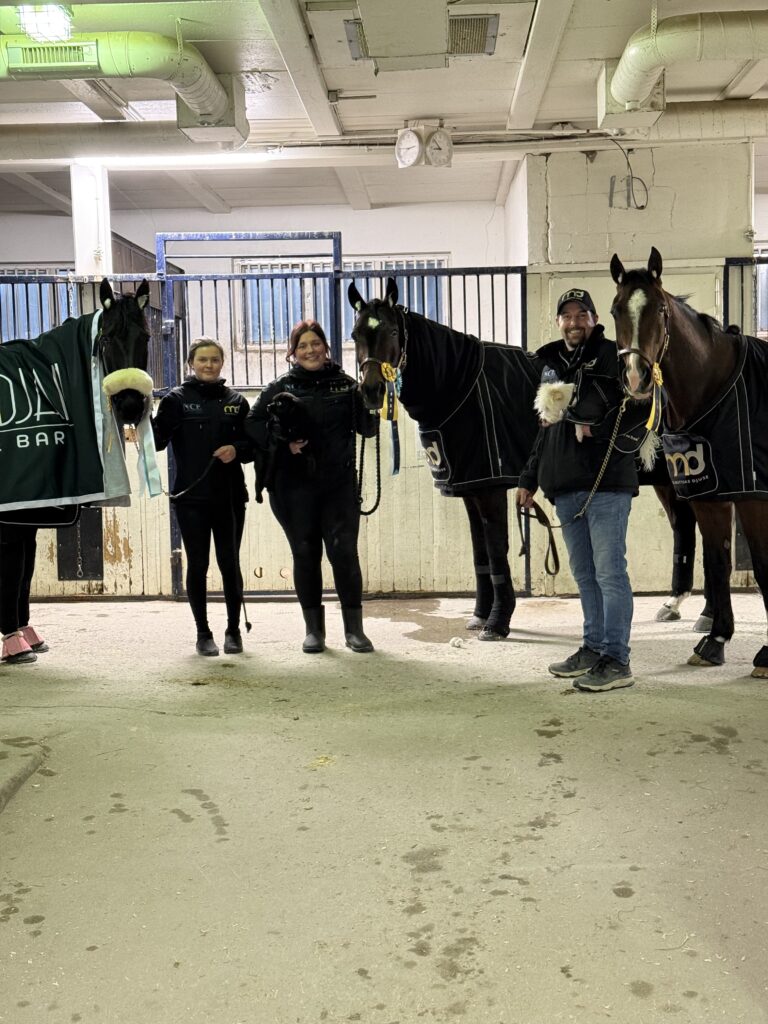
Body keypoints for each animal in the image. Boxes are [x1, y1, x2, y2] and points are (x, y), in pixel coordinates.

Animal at [0, 278, 153, 663]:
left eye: (145, 337)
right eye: (107, 339)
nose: (130, 405)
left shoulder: (28, 517)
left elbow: (23, 575)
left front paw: (29, 636)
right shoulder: (11, 520)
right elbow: (12, 574)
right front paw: (15, 644)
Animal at [614, 248, 768, 679]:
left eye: (661, 310)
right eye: (616, 310)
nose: (636, 377)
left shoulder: (752, 495)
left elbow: (762, 565)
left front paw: (766, 655)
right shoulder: (706, 493)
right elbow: (715, 560)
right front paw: (716, 639)